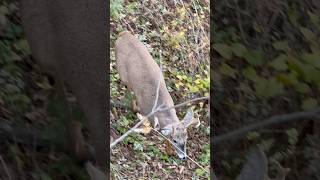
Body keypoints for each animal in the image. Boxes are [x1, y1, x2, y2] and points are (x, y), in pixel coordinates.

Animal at [115, 31, 200, 160]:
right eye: (175, 140)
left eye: (186, 138)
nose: (183, 157)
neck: (162, 110)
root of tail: (123, 34)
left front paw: (169, 152)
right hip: (122, 73)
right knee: (129, 90)